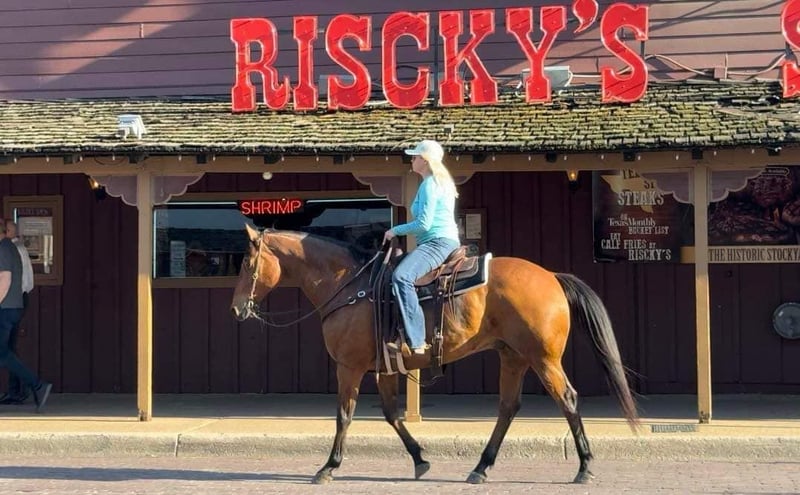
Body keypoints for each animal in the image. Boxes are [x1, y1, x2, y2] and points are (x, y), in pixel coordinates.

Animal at [230, 225, 639, 485]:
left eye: (247, 264)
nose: (236, 308)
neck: (351, 286)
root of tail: (552, 276)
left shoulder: (349, 367)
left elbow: (344, 415)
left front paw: (328, 467)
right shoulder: (383, 369)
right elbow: (391, 415)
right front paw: (420, 459)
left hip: (542, 359)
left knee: (567, 399)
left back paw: (584, 467)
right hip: (513, 357)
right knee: (508, 407)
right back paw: (481, 467)